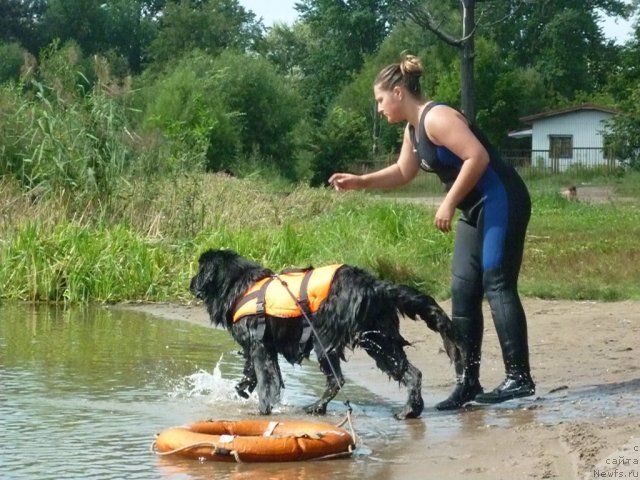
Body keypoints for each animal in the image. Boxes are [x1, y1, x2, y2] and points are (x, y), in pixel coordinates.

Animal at [188, 249, 458, 418]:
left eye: (199, 271)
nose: (190, 283)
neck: (239, 286)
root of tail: (376, 285)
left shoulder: (259, 346)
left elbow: (266, 380)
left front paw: (263, 409)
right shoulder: (260, 347)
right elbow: (252, 375)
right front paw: (243, 391)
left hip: (328, 340)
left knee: (337, 379)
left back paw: (317, 406)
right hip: (380, 338)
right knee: (411, 372)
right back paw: (410, 410)